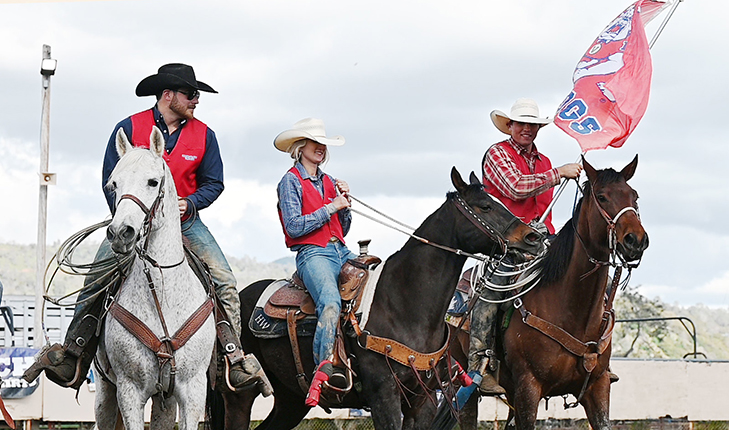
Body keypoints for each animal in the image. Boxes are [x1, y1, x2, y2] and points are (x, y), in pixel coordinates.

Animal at [208, 168, 544, 430]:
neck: (405, 303)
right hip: (239, 395)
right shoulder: (384, 396)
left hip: (291, 399)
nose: (533, 237)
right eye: (485, 206)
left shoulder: (422, 401)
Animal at [432, 156, 648, 430]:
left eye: (635, 196)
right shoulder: (529, 388)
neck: (573, 312)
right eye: (602, 197)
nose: (635, 241)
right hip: (466, 382)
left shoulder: (598, 388)